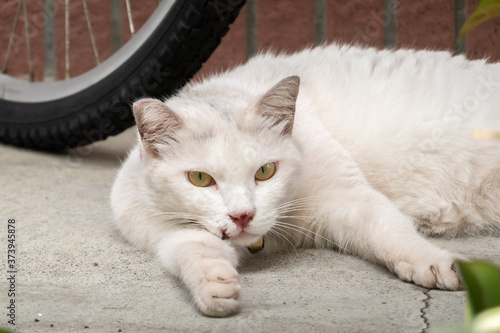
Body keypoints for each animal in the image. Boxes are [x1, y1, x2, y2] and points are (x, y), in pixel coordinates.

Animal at [111, 43, 500, 316]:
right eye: (200, 178)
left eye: (265, 171)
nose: (243, 216)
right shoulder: (164, 232)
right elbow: (193, 250)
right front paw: (215, 285)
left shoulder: (351, 196)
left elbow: (393, 234)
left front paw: (433, 263)